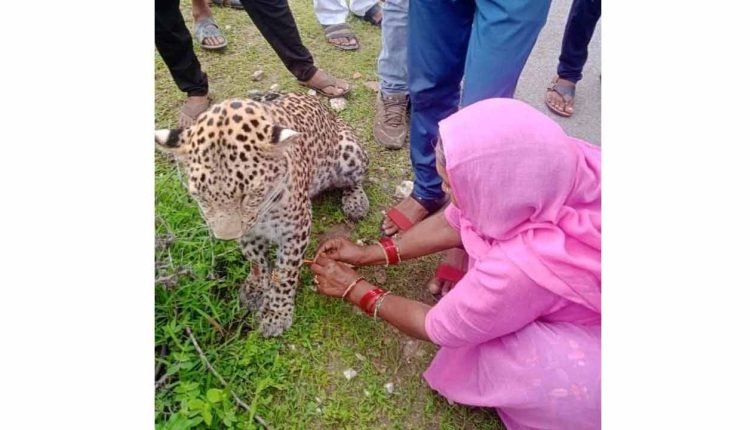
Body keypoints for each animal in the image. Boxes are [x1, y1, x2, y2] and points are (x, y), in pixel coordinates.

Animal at [155, 92, 369, 337]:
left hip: (349, 152)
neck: (264, 210)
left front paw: (277, 314)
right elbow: (256, 260)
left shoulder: (295, 230)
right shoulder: (249, 232)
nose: (226, 237)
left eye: (249, 194)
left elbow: (285, 273)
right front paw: (256, 289)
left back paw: (356, 202)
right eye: (201, 197)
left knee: (356, 180)